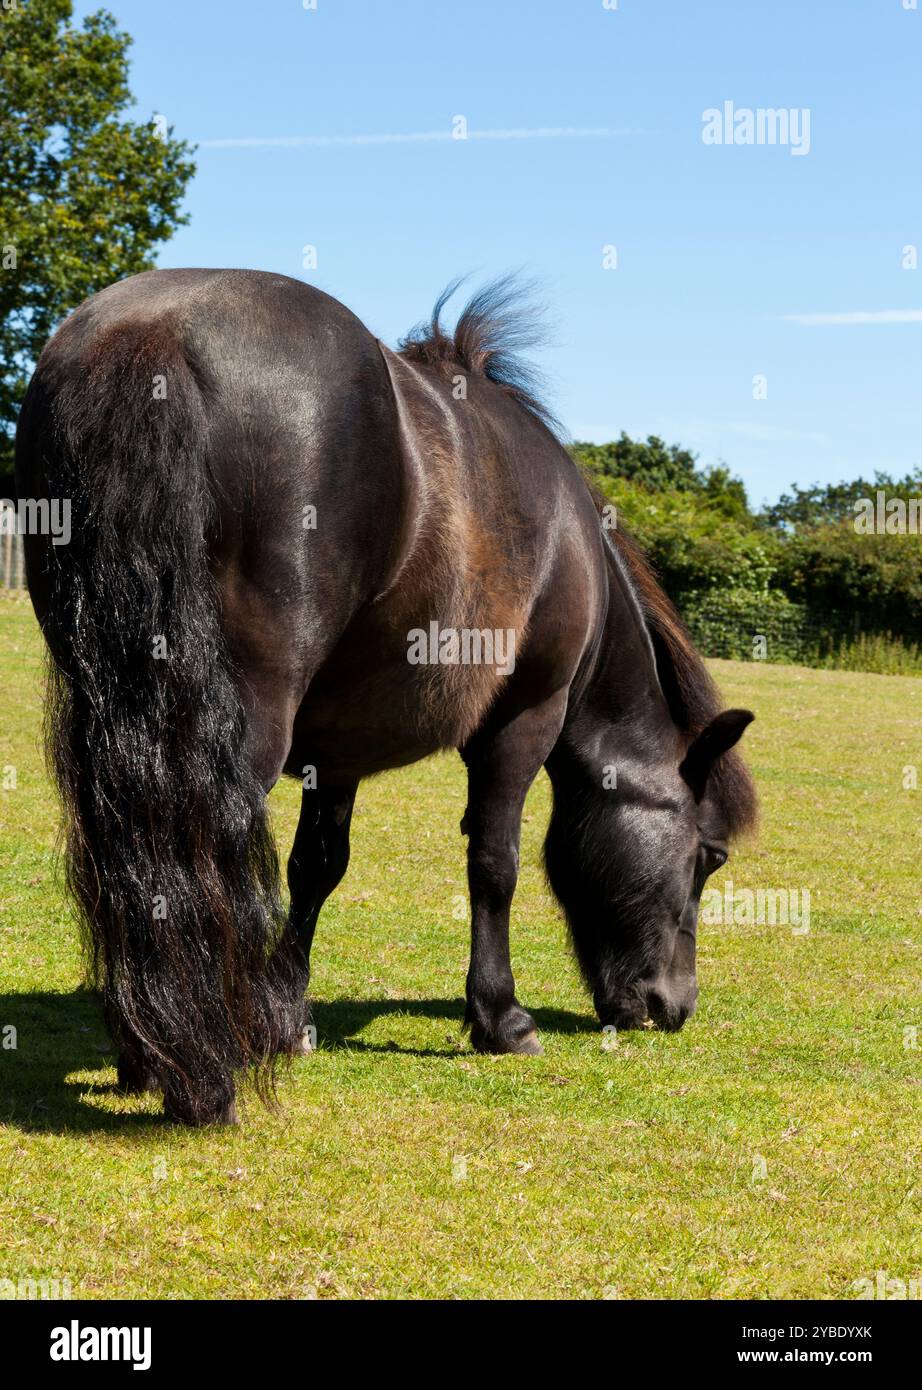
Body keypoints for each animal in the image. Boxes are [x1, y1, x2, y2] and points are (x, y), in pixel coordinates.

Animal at [16, 273, 756, 1128]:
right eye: (711, 856)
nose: (674, 1005)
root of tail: (151, 334)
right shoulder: (522, 720)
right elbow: (494, 862)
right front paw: (500, 1018)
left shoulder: (337, 751)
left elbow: (317, 867)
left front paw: (284, 1017)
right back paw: (202, 1072)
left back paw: (149, 1051)